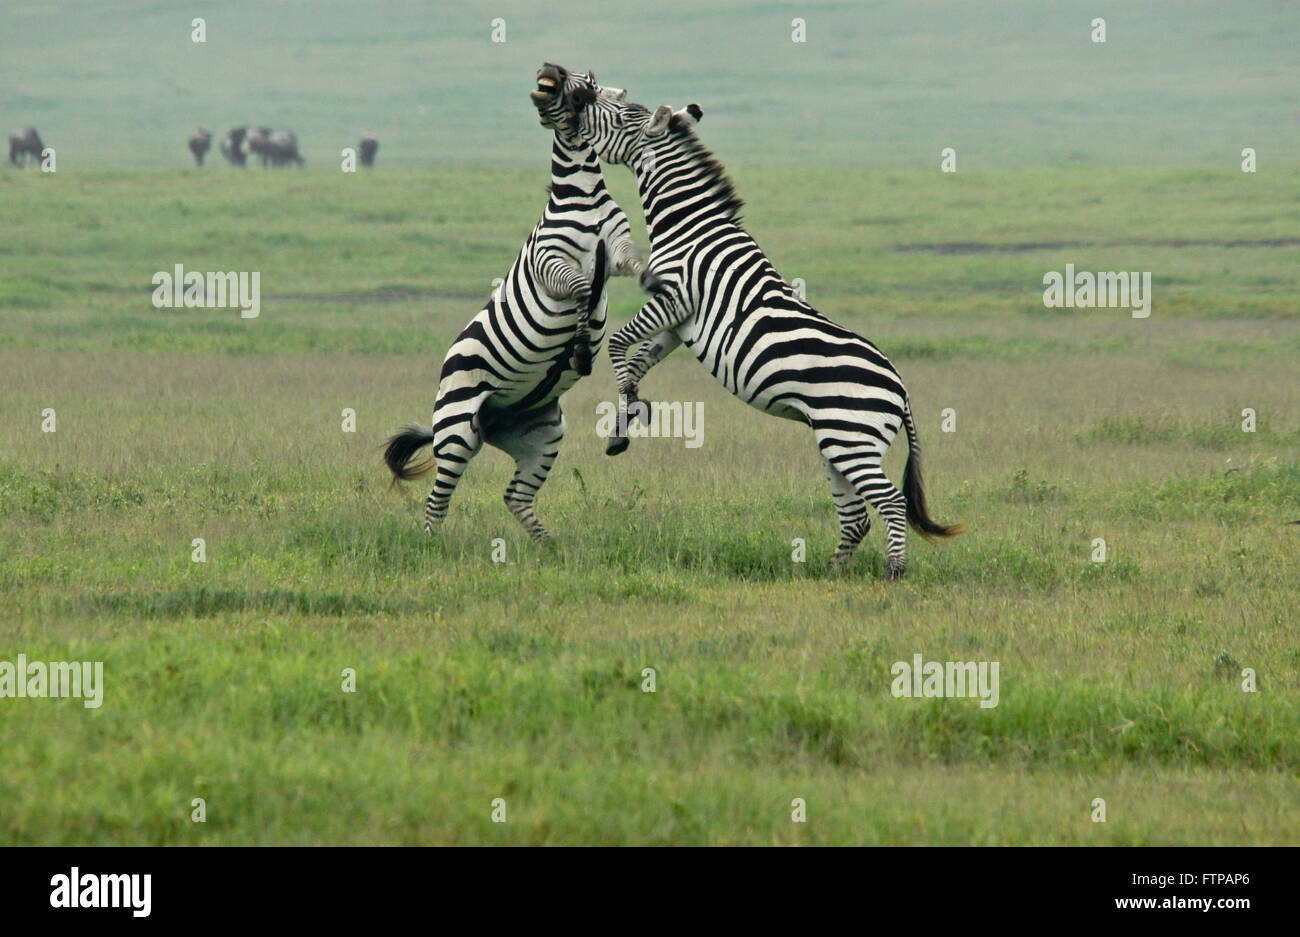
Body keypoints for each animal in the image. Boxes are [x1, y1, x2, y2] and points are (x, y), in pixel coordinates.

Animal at [379, 67, 676, 540]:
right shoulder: (549, 263)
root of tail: (492, 422)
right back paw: (433, 545)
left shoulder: (617, 247)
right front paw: (579, 345)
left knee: (514, 496)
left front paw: (652, 282)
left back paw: (550, 546)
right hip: (457, 426)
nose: (548, 72)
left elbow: (635, 265)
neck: (583, 196)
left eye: (586, 84)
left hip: (543, 432)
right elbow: (580, 289)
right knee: (437, 500)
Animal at [559, 69, 967, 574]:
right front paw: (627, 414)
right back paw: (829, 571)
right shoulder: (679, 322)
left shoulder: (676, 298)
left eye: (620, 115)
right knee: (857, 518)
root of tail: (902, 392)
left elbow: (618, 344)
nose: (580, 95)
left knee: (891, 502)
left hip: (851, 439)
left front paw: (628, 408)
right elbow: (638, 360)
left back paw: (893, 572)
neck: (689, 227)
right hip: (839, 443)